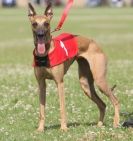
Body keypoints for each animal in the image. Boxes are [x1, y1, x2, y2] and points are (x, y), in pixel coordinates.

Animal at [27, 2, 119, 132]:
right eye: (34, 24)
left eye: (46, 23)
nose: (40, 35)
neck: (45, 54)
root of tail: (94, 43)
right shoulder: (41, 84)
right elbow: (42, 110)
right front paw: (40, 129)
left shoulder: (59, 82)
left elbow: (62, 108)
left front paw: (64, 128)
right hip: (85, 84)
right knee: (102, 104)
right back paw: (99, 125)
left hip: (100, 80)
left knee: (115, 101)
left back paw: (116, 123)